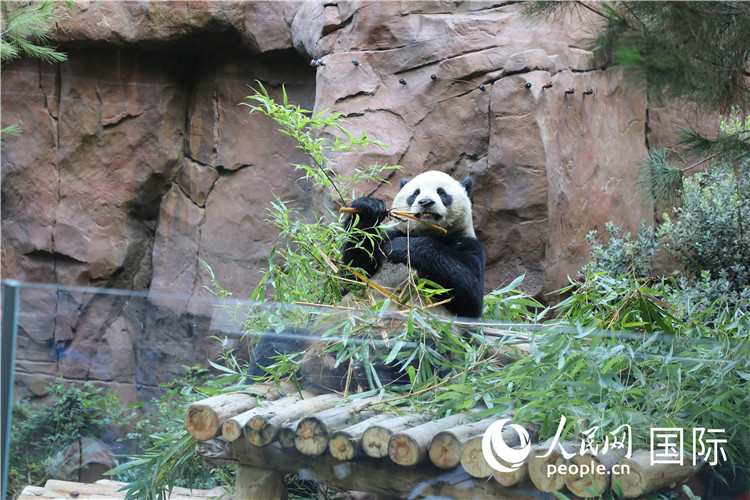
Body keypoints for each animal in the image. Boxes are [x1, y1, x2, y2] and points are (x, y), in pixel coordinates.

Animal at [251, 170, 488, 392]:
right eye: (415, 193)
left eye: (442, 192)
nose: (426, 202)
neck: (425, 231)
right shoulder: (385, 236)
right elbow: (351, 275)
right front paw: (369, 210)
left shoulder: (467, 245)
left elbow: (470, 296)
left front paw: (404, 248)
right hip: (314, 335)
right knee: (276, 343)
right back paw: (258, 377)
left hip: (422, 334)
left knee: (418, 355)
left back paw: (374, 372)